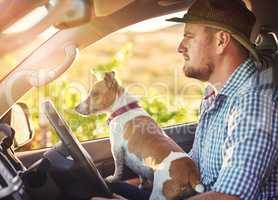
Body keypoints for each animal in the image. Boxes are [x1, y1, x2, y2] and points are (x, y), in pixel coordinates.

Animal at [76, 72, 204, 200]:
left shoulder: (116, 150)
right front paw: (143, 186)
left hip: (159, 193)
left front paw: (113, 179)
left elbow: (118, 169)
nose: (75, 108)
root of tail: (190, 170)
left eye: (94, 93)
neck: (123, 109)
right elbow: (141, 175)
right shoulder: (139, 166)